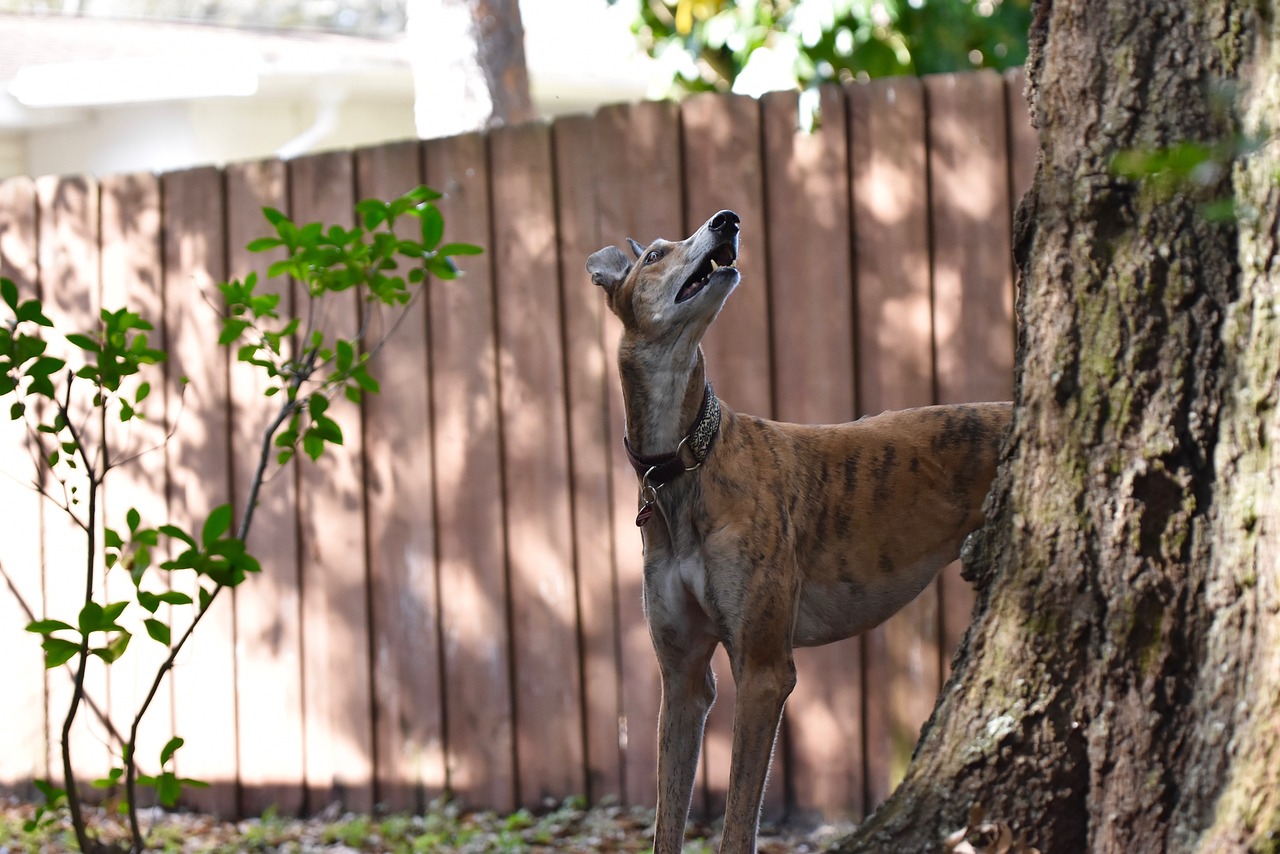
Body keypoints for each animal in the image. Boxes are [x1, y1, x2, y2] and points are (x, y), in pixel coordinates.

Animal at [586, 208, 1008, 854]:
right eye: (655, 255)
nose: (727, 220)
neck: (686, 462)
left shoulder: (764, 672)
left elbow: (739, 824)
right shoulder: (682, 678)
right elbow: (666, 822)